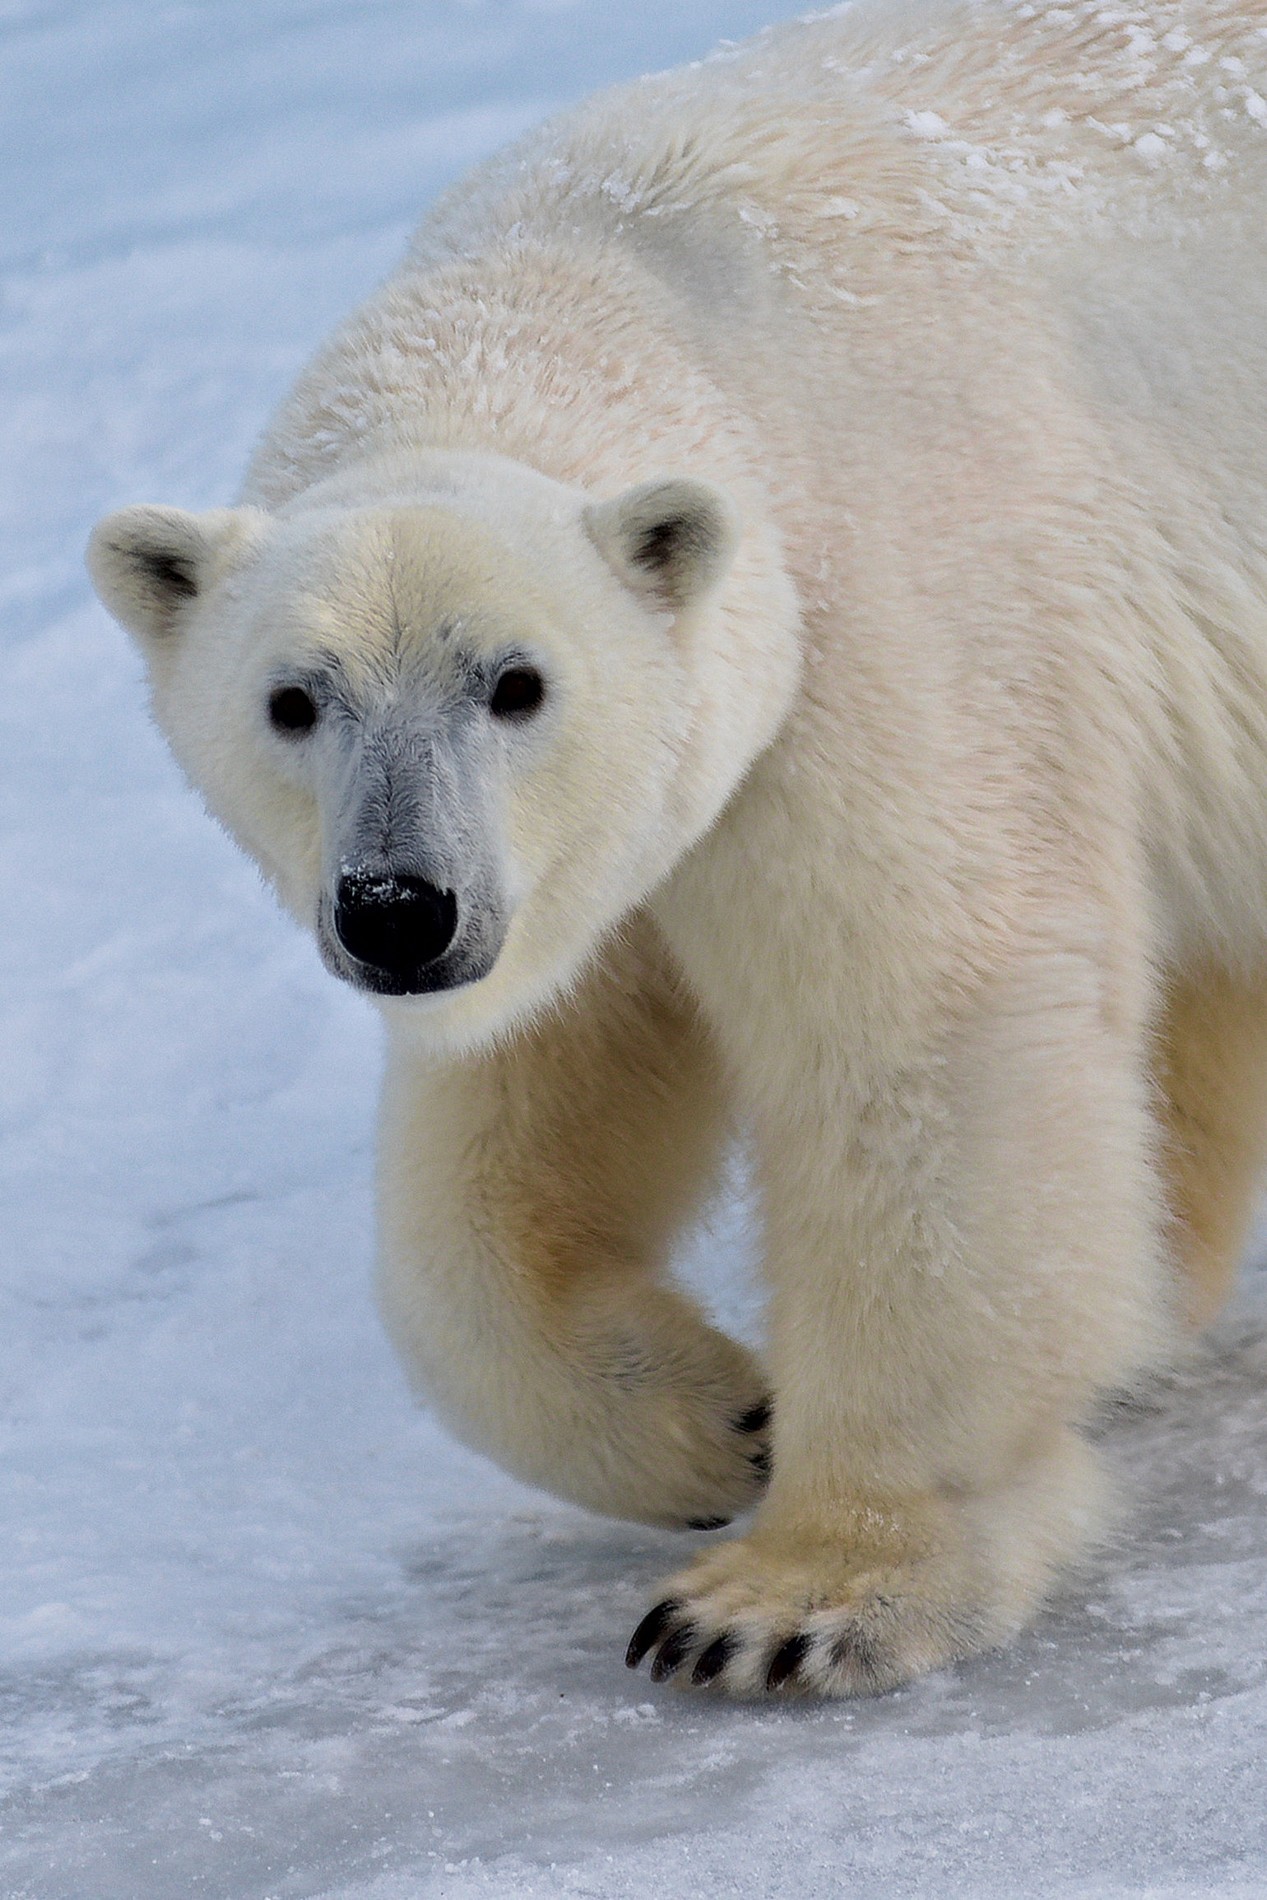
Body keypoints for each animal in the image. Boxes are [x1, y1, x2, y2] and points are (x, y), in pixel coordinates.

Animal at [86, 0, 1267, 1694]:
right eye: (292, 700)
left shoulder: (885, 626)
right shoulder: (606, 860)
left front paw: (784, 1603)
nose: (396, 911)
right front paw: (722, 1418)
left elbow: (923, 1032)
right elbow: (533, 1104)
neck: (646, 280)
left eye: (516, 681)